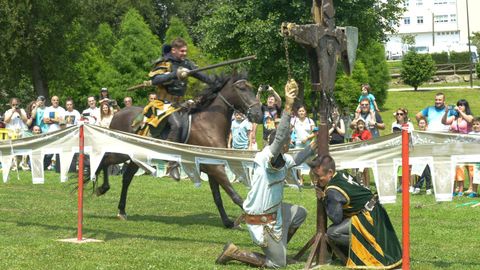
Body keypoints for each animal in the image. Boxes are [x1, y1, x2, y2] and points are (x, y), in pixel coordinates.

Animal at [93, 72, 262, 228]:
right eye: (241, 88)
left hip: (136, 157)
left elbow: (218, 197)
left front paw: (227, 222)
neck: (209, 124)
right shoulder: (216, 168)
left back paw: (121, 210)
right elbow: (235, 195)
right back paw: (100, 187)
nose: (258, 114)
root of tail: (117, 113)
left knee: (126, 177)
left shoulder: (213, 166)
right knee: (104, 159)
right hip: (121, 153)